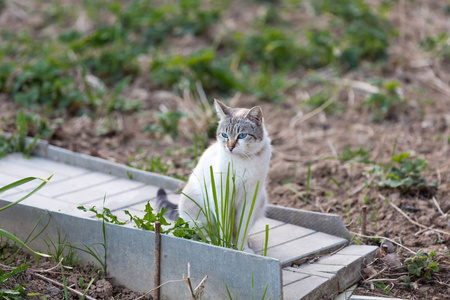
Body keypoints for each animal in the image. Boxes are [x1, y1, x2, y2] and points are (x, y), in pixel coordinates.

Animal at [156, 99, 272, 253]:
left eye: (242, 136)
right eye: (224, 135)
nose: (230, 147)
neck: (242, 160)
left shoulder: (249, 198)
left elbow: (242, 228)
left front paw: (242, 249)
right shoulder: (222, 196)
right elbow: (224, 227)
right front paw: (224, 246)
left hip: (261, 201)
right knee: (201, 231)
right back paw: (212, 241)